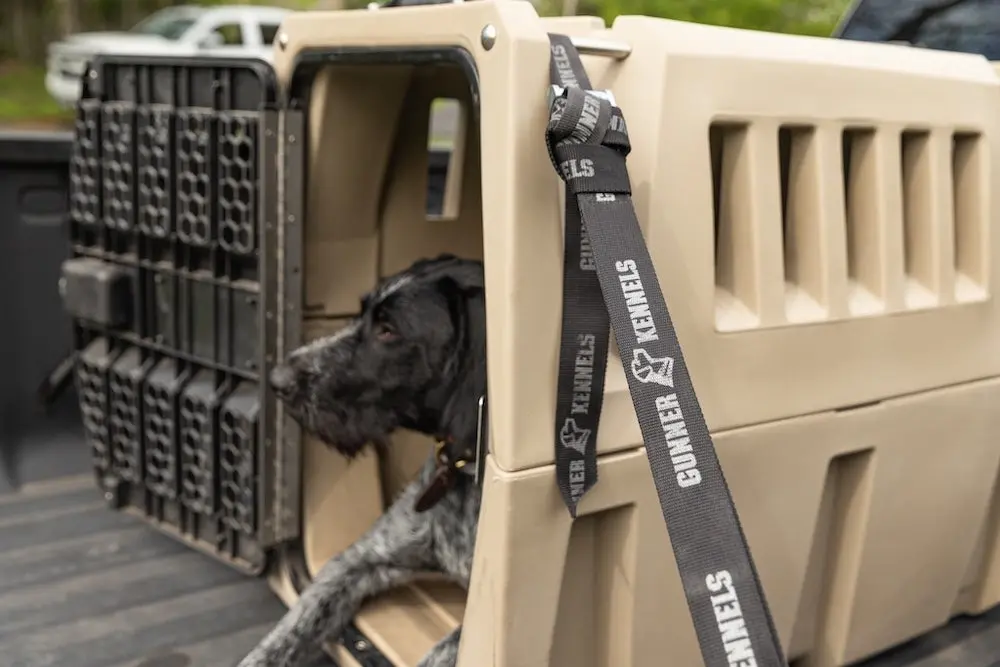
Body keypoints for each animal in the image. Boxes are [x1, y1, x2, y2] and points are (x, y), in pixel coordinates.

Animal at [235, 254, 484, 667]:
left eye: (388, 331)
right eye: (362, 313)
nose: (277, 379)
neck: (464, 471)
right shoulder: (359, 560)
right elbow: (288, 632)